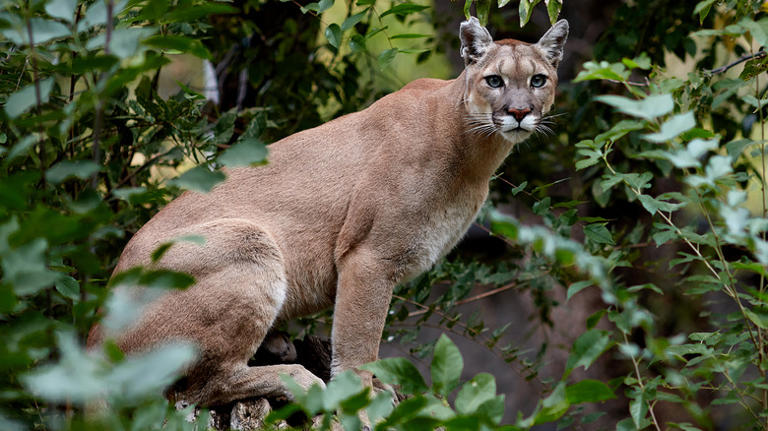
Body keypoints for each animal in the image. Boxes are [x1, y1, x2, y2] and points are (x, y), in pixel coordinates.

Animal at [90, 17, 568, 408]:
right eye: (494, 80)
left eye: (538, 80)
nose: (519, 112)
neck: (475, 152)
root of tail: (94, 335)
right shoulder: (369, 257)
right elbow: (359, 341)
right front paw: (362, 401)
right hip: (248, 240)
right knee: (194, 390)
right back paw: (297, 379)